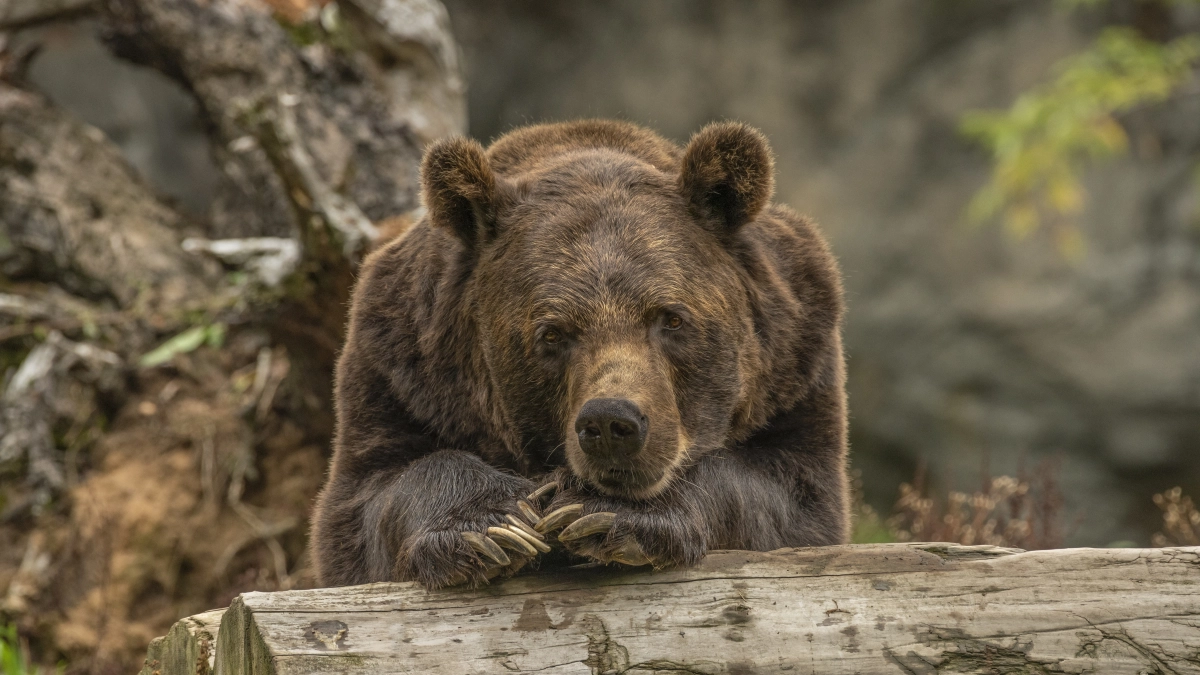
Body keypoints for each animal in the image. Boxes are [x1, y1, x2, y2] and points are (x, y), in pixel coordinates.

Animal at [310, 119, 849, 590]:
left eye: (671, 318)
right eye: (552, 333)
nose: (611, 423)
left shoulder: (795, 365)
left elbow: (789, 497)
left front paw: (605, 513)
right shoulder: (401, 372)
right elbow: (371, 498)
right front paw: (494, 526)